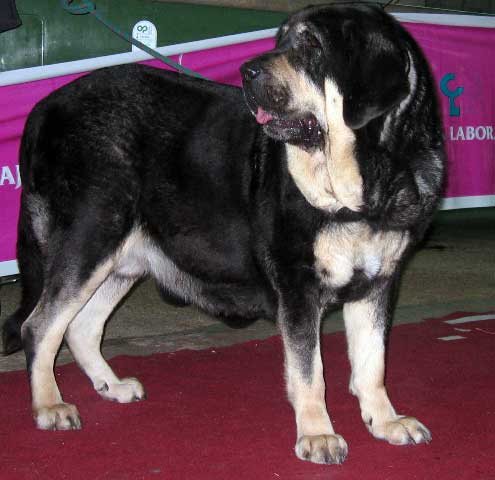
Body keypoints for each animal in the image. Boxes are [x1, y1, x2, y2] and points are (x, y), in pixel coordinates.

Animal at [1, 3, 448, 466]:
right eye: (281, 41)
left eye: (311, 46)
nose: (246, 70)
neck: (366, 183)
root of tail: (44, 108)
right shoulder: (297, 285)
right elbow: (310, 371)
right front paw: (318, 433)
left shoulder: (377, 284)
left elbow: (373, 362)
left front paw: (385, 421)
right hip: (91, 235)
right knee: (39, 327)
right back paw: (50, 405)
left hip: (121, 258)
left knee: (81, 327)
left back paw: (112, 386)